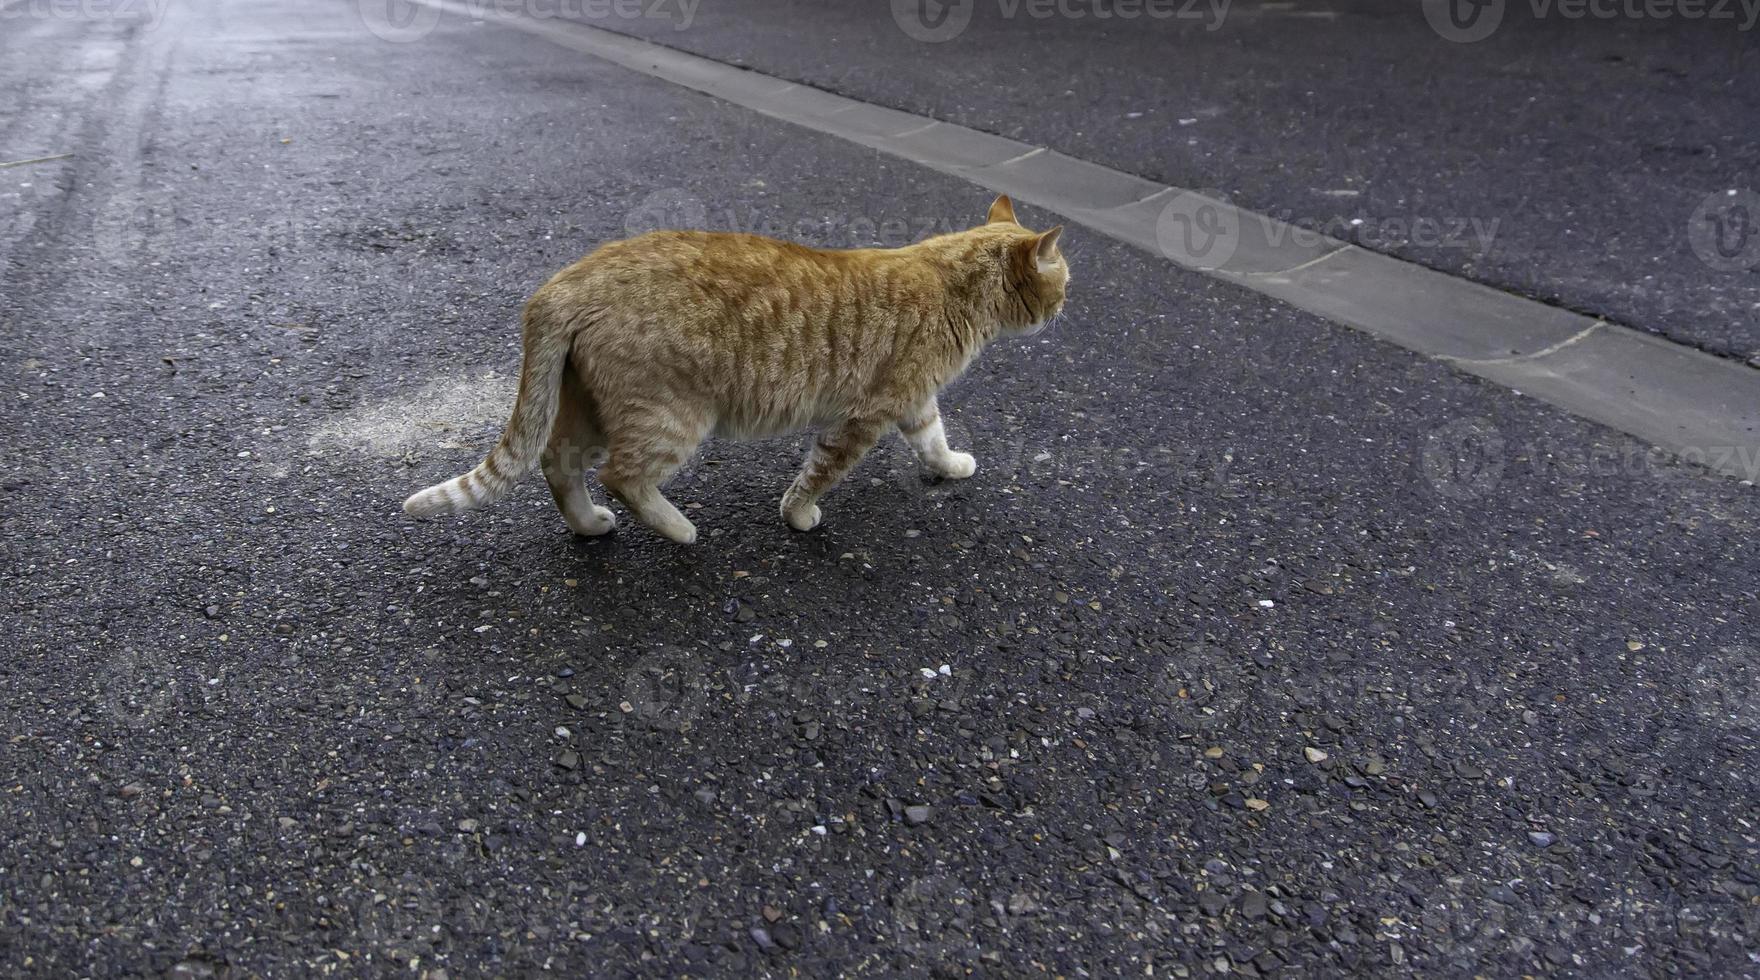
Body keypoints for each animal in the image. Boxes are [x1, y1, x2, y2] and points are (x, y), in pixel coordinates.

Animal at [404, 192, 1063, 541]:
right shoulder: (863, 418)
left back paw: (589, 525)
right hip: (670, 419)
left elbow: (933, 440)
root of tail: (563, 282)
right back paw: (677, 528)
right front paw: (799, 515)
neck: (950, 281)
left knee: (556, 462)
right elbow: (818, 473)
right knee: (622, 476)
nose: (1064, 308)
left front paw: (950, 467)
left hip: (588, 411)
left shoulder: (915, 403)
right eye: (1064, 282)